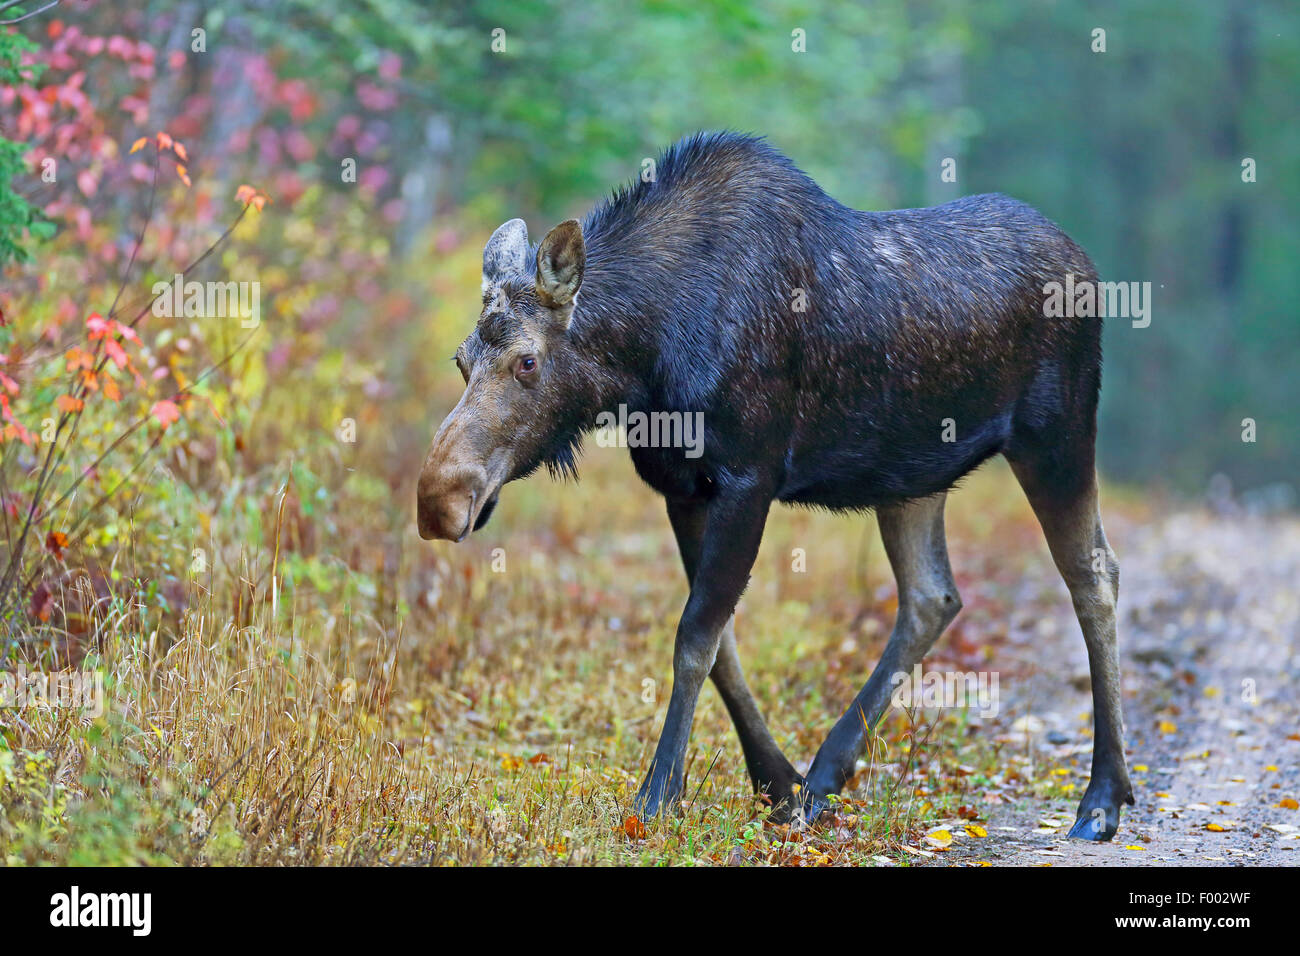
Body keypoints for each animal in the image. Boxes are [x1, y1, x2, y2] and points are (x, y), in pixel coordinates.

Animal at [421, 132, 1133, 837]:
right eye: (460, 359)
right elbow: (722, 646)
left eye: (528, 361)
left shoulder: (748, 476)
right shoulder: (684, 487)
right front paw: (777, 784)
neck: (643, 363)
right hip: (914, 472)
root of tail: (1090, 269)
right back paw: (824, 778)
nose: (438, 500)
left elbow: (695, 638)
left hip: (1056, 435)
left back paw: (1102, 796)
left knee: (1094, 573)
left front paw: (659, 796)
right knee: (933, 596)